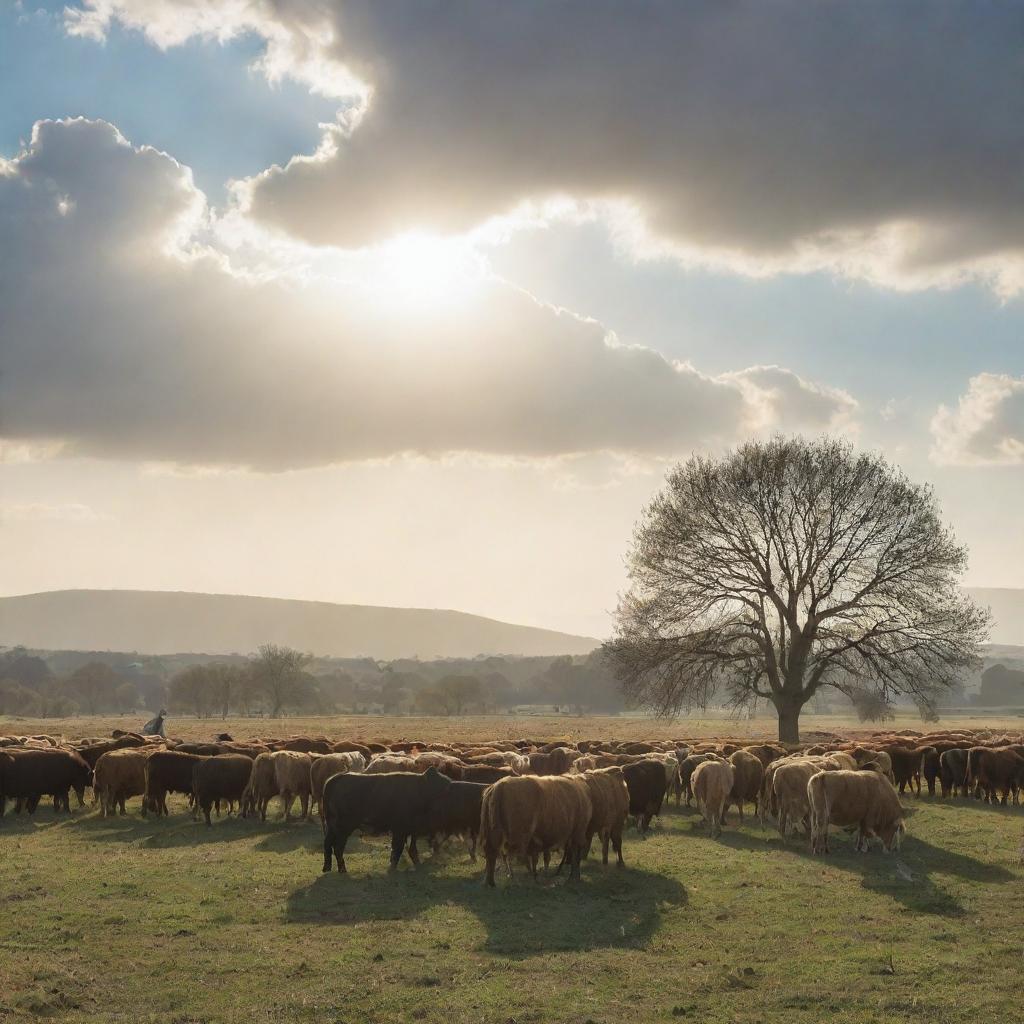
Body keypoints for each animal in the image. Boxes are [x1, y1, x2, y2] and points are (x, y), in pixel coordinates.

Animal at [321, 770, 454, 872]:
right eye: (443, 788)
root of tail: (337, 778)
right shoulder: (400, 830)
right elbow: (398, 848)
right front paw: (392, 869)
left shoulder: (410, 830)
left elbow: (411, 849)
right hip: (344, 827)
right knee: (338, 847)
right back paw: (342, 870)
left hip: (332, 826)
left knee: (327, 843)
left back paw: (327, 868)